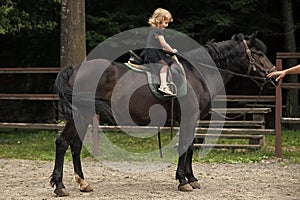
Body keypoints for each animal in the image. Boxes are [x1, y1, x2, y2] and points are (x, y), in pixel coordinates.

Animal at [49, 33, 276, 197]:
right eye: (258, 53)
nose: (274, 76)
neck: (197, 74)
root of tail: (75, 69)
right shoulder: (189, 118)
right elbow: (185, 146)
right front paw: (183, 181)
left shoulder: (192, 120)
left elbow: (189, 147)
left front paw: (191, 179)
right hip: (80, 115)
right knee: (62, 143)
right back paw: (59, 186)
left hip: (85, 115)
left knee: (75, 145)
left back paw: (83, 183)